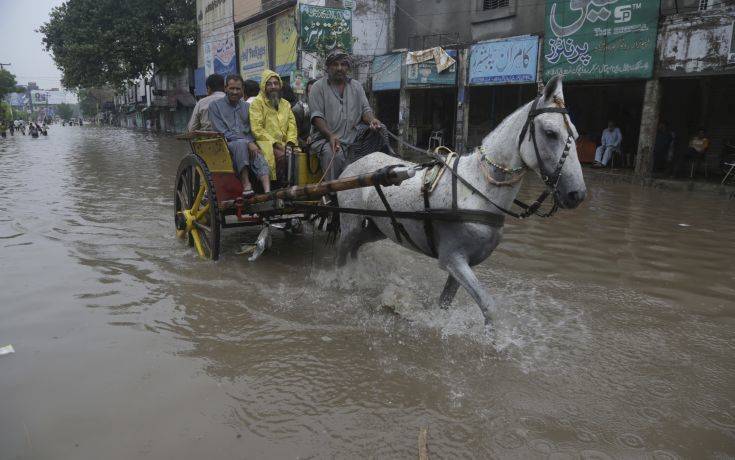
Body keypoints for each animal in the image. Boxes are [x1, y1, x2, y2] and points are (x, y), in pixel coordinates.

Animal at [338, 76, 588, 328]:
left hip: (376, 228)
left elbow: (446, 302)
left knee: (356, 247)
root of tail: (353, 165)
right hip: (350, 223)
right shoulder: (453, 259)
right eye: (550, 133)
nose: (576, 194)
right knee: (341, 251)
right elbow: (489, 308)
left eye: (576, 135)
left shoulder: (463, 262)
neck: (479, 189)